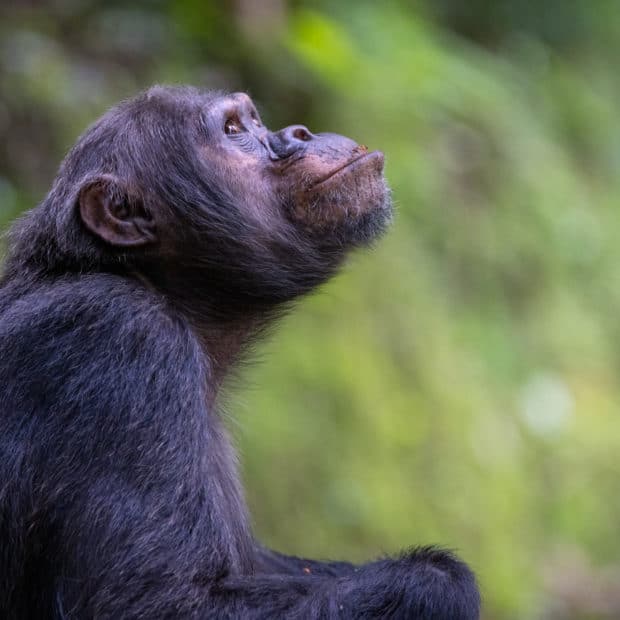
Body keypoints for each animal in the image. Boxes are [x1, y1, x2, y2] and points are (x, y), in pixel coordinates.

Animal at [0, 87, 480, 620]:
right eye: (233, 131)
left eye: (253, 120)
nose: (297, 133)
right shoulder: (114, 339)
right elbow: (153, 600)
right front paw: (443, 579)